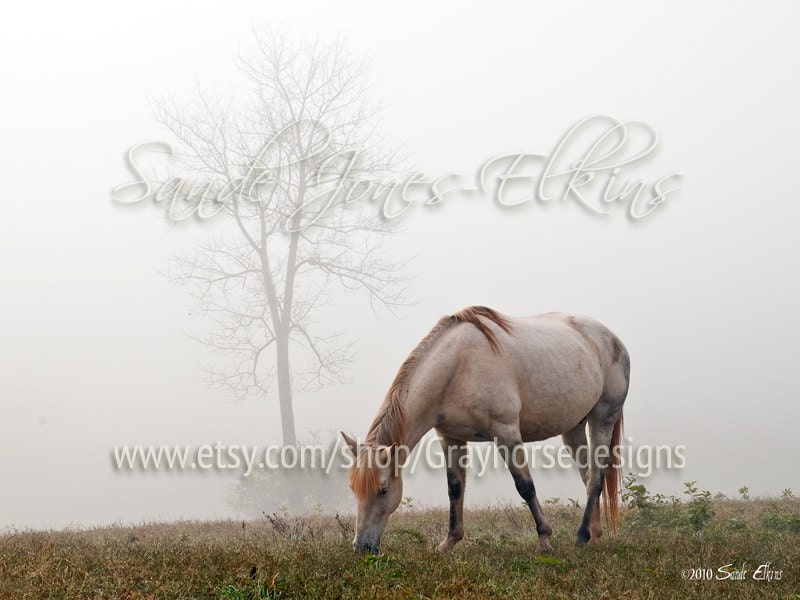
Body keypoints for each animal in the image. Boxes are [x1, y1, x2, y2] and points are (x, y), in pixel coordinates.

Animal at [342, 306, 629, 554]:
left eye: (383, 490)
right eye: (353, 489)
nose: (361, 547)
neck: (458, 366)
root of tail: (613, 339)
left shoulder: (506, 434)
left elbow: (525, 486)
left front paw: (544, 540)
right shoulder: (451, 437)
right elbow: (455, 488)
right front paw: (449, 542)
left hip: (602, 417)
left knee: (596, 477)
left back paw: (581, 536)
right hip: (573, 429)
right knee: (588, 475)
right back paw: (593, 534)